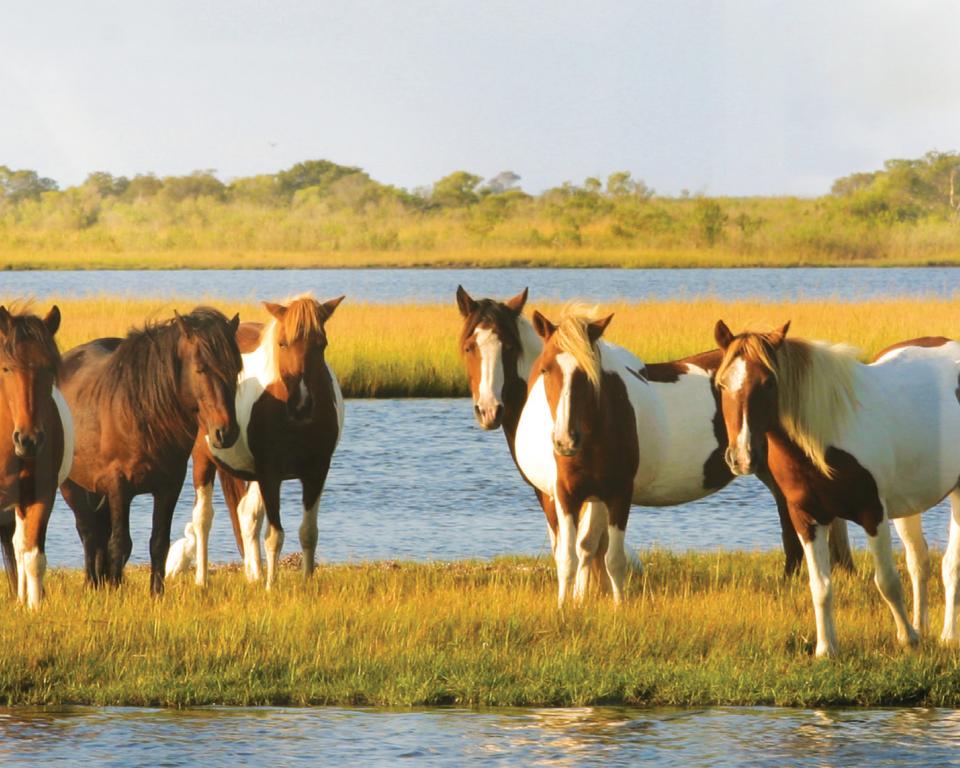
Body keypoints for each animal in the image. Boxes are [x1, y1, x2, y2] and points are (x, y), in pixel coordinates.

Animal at [58, 308, 242, 596]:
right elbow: (120, 543)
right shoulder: (118, 485)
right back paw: (92, 583)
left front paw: (156, 593)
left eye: (235, 369)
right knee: (88, 531)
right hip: (71, 485)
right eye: (200, 369)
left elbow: (159, 542)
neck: (142, 412)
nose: (226, 432)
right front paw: (116, 592)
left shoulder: (168, 487)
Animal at [188, 294, 344, 588]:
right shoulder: (271, 474)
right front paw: (272, 587)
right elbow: (275, 536)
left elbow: (308, 532)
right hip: (204, 460)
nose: (301, 404)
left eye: (322, 344)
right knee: (202, 519)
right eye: (282, 343)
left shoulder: (317, 472)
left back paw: (255, 575)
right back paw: (202, 580)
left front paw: (305, 584)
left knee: (247, 514)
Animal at [512, 304, 852, 608]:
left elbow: (613, 558)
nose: (565, 440)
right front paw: (568, 606)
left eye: (590, 372)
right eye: (546, 369)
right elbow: (571, 555)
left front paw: (618, 607)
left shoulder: (619, 493)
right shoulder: (567, 495)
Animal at [708, 320, 960, 656]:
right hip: (909, 505)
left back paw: (948, 635)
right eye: (722, 384)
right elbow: (821, 587)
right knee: (919, 562)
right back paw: (923, 626)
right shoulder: (807, 519)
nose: (742, 457)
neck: (828, 436)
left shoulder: (872, 513)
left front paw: (906, 638)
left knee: (950, 565)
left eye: (768, 383)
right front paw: (826, 649)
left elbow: (887, 581)